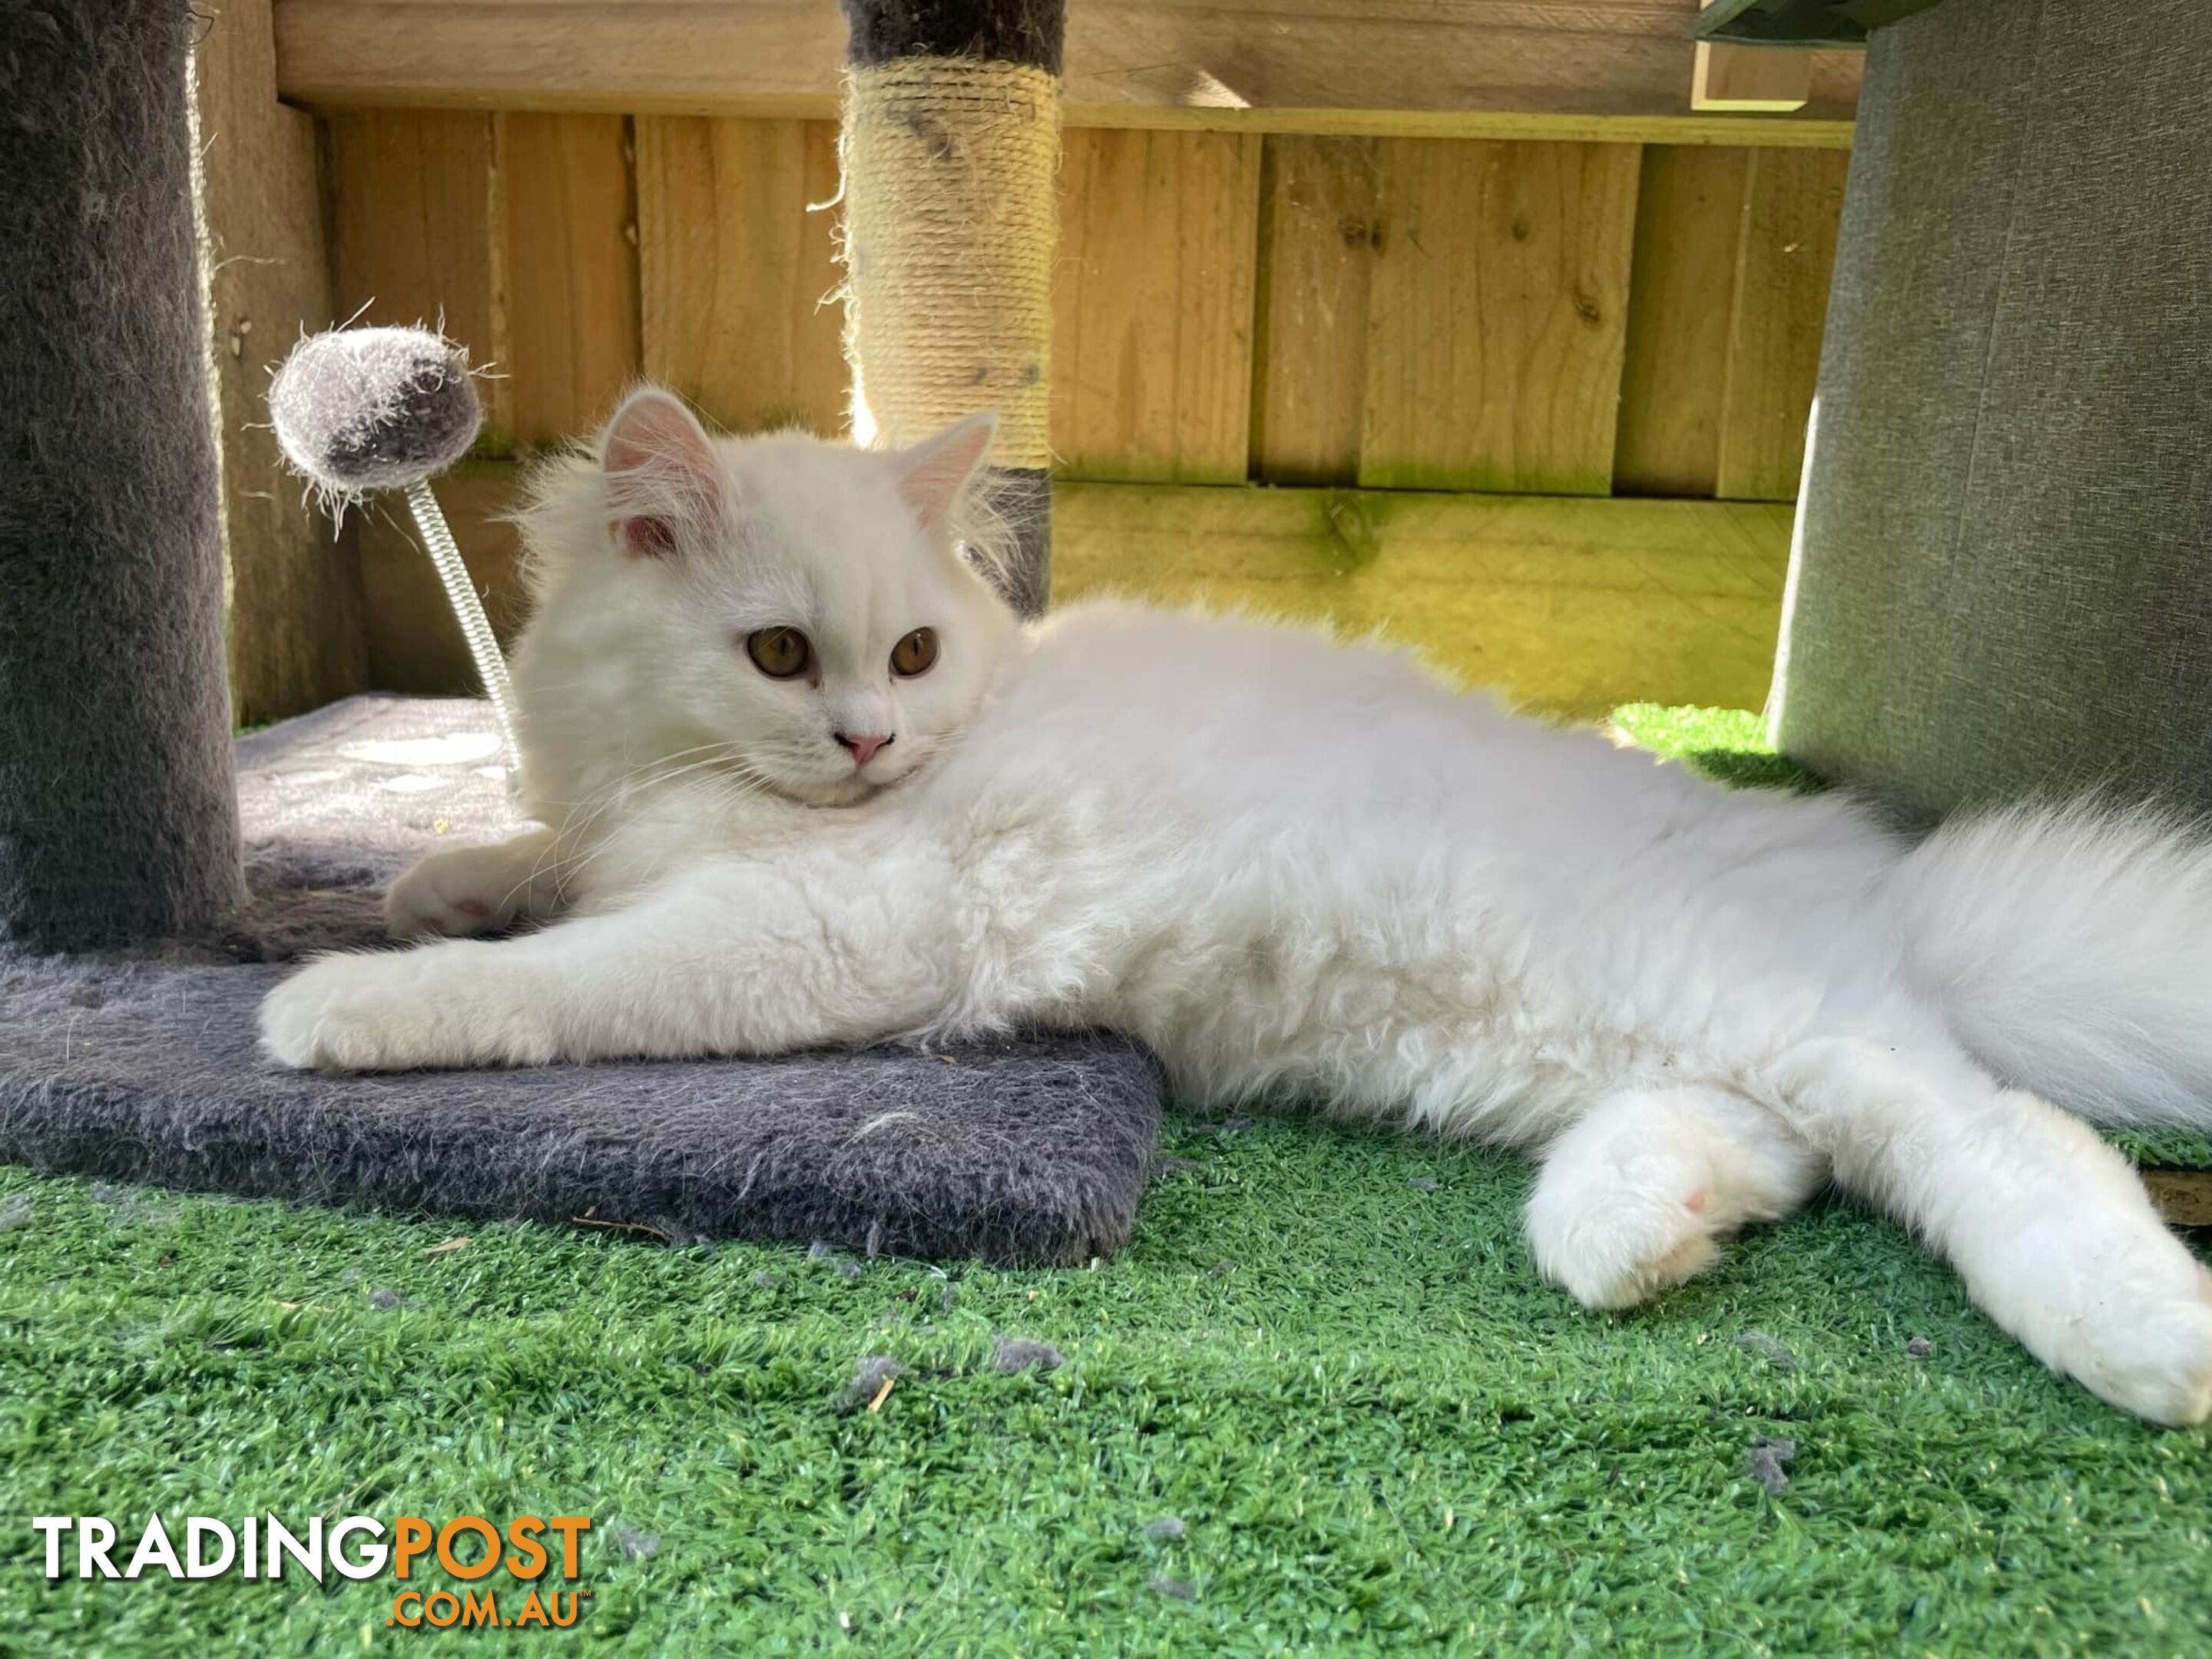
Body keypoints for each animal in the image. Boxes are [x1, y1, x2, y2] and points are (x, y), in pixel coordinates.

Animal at [263, 389, 2212, 1433]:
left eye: (910, 653)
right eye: (781, 654)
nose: (872, 735)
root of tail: (1877, 877)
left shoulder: (832, 926)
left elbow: (571, 971)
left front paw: (338, 1003)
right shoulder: (644, 832)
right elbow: (534, 863)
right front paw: (433, 879)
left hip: (1772, 1019)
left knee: (2002, 1139)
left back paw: (2147, 1344)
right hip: (1609, 1046)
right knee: (1771, 1151)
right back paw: (1626, 1236)